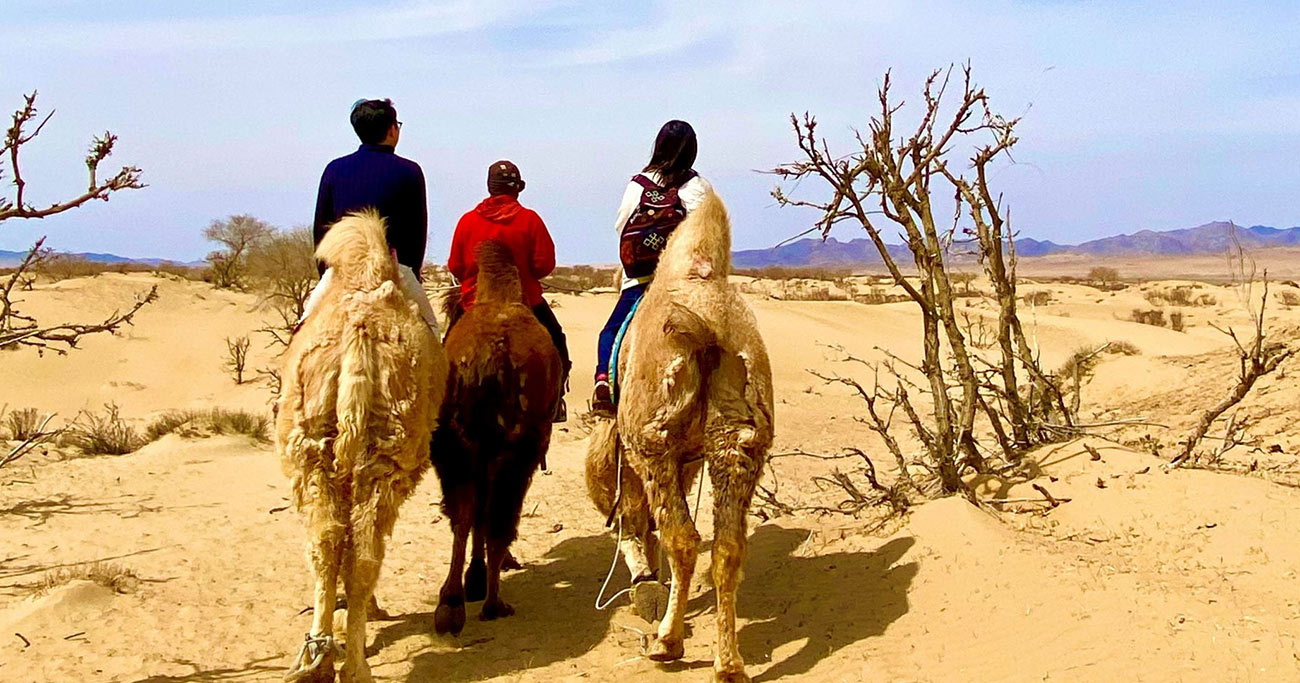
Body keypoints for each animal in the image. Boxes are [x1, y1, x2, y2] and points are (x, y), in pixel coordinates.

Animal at [275, 210, 447, 676]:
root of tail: (359, 334)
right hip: (386, 454)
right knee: (363, 552)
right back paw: (353, 664)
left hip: (312, 447)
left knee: (327, 543)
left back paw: (321, 660)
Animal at [431, 238, 564, 634]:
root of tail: (491, 355)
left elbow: (473, 514)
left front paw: (473, 579)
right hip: (518, 445)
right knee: (498, 515)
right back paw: (493, 602)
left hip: (455, 442)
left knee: (463, 511)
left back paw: (451, 604)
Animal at [587, 191, 769, 681]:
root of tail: (706, 330)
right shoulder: (691, 457)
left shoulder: (631, 449)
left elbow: (631, 516)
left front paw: (643, 583)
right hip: (738, 442)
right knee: (727, 547)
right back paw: (729, 665)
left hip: (655, 442)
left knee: (682, 539)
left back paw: (667, 643)